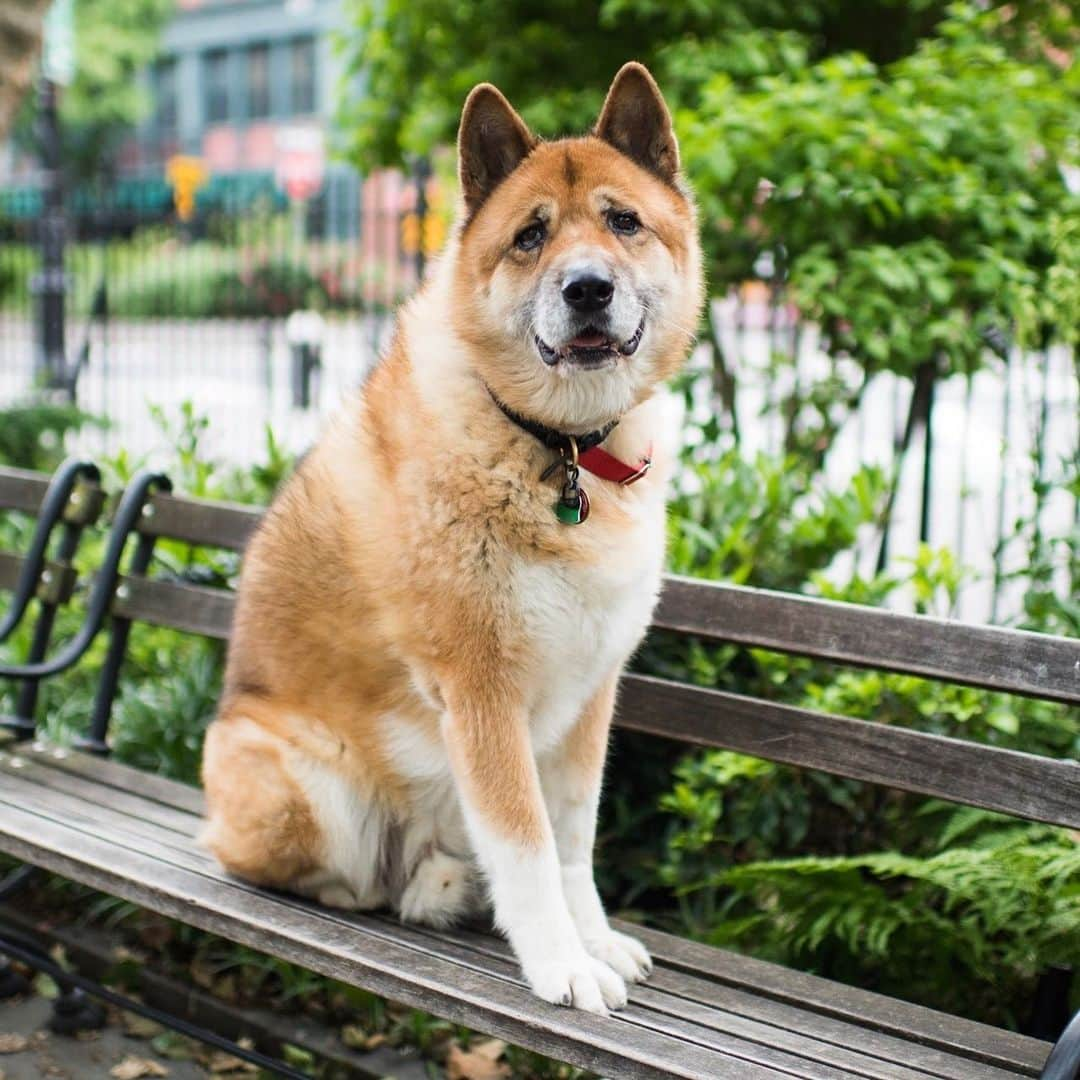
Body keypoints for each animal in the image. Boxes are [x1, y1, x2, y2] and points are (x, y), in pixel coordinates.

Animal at [200, 63, 708, 1010]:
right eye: (530, 236)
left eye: (624, 222)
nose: (588, 288)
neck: (557, 449)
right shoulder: (481, 696)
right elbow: (527, 846)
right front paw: (561, 966)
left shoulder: (591, 697)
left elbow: (572, 841)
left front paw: (593, 940)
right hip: (296, 785)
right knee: (305, 869)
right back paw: (408, 887)